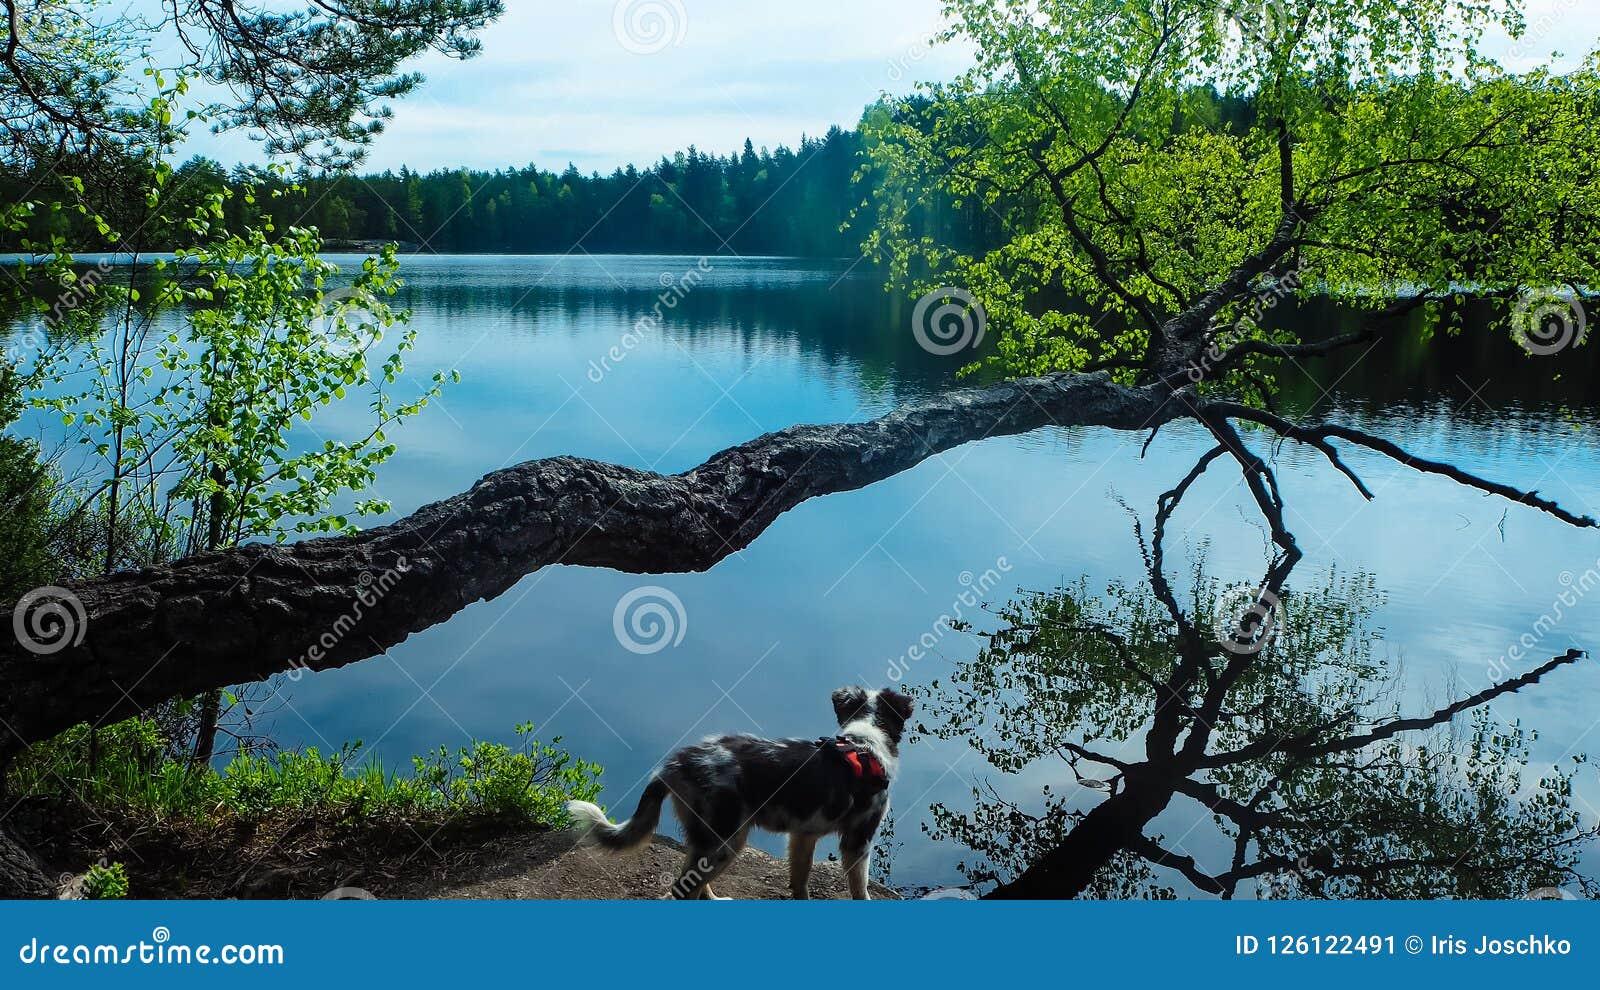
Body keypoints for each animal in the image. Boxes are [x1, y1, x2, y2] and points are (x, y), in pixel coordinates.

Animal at [563, 684, 915, 902]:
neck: (863, 742)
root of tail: (674, 764)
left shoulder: (803, 835)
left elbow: (800, 880)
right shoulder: (859, 838)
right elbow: (860, 887)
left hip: (709, 839)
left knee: (694, 881)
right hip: (728, 838)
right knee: (682, 891)